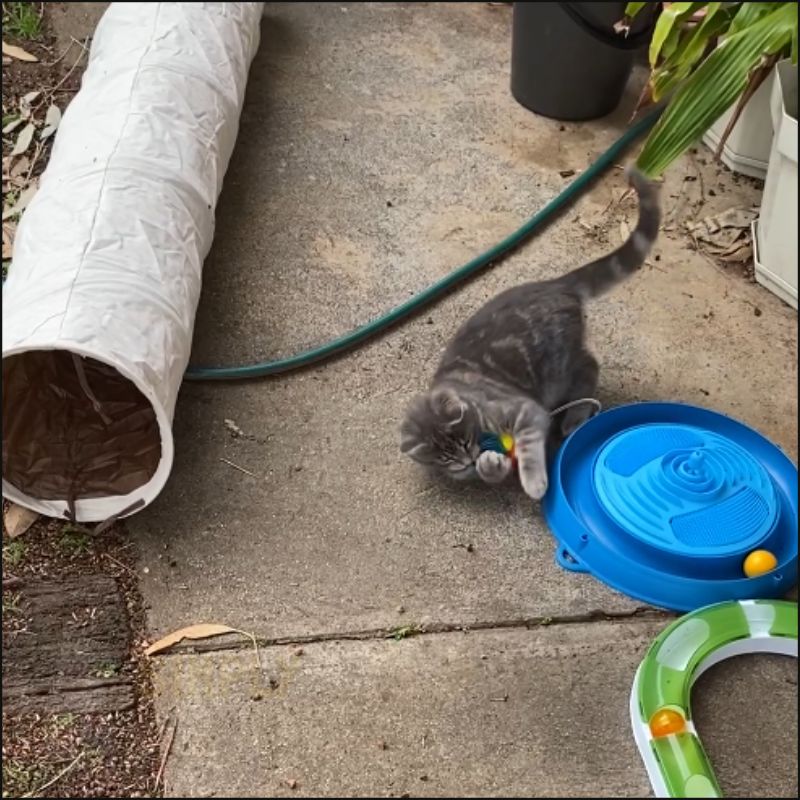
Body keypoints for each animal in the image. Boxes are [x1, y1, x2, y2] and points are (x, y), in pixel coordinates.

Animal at [400, 166, 664, 496]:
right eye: (448, 461)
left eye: (464, 441)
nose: (468, 462)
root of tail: (557, 284)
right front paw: (490, 466)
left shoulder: (525, 410)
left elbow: (528, 441)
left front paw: (535, 481)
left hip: (558, 366)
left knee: (591, 367)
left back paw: (573, 418)